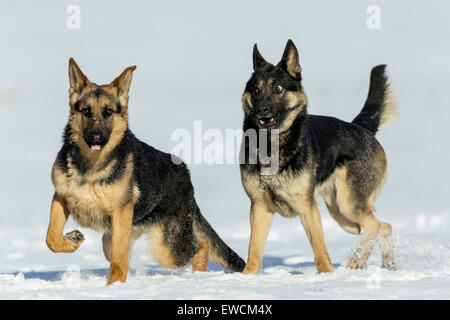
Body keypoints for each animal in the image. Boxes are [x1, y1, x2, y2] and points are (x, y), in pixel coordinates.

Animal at [45, 58, 244, 284]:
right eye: (86, 111)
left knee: (202, 246)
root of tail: (186, 174)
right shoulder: (61, 197)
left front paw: (114, 286)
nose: (96, 137)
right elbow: (51, 238)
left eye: (108, 112)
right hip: (117, 238)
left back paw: (198, 276)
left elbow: (119, 259)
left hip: (167, 248)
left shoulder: (121, 214)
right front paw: (72, 241)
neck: (91, 166)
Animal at [241, 39, 396, 276]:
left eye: (278, 88)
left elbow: (319, 248)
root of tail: (362, 128)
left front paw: (326, 275)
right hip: (341, 214)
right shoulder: (259, 208)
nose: (261, 110)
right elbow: (254, 250)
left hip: (348, 205)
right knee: (383, 226)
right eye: (256, 90)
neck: (272, 145)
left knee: (376, 226)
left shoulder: (307, 207)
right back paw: (386, 265)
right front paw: (247, 277)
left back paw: (357, 262)